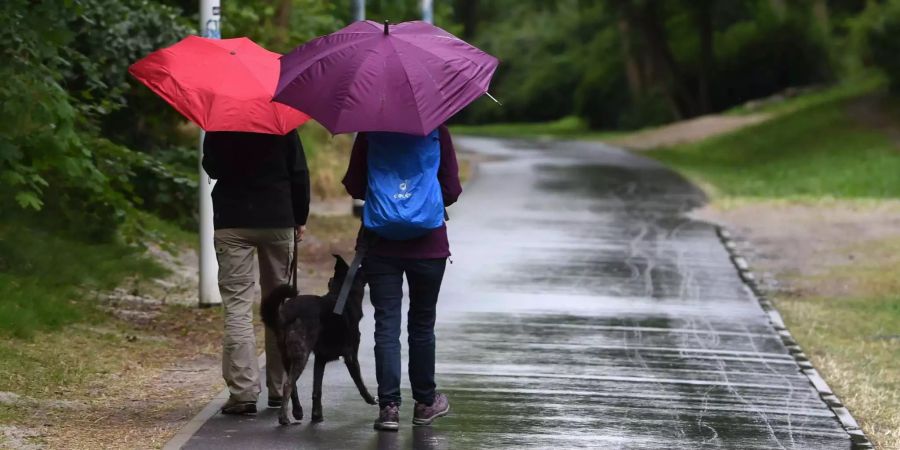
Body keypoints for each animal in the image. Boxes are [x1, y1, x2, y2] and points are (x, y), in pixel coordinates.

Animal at [260, 253, 376, 426]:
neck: (341, 295)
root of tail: (286, 313)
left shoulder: (320, 359)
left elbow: (317, 389)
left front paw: (316, 415)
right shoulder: (351, 356)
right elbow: (360, 382)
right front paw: (370, 399)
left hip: (287, 356)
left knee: (293, 385)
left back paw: (297, 411)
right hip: (301, 354)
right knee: (288, 385)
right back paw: (283, 418)